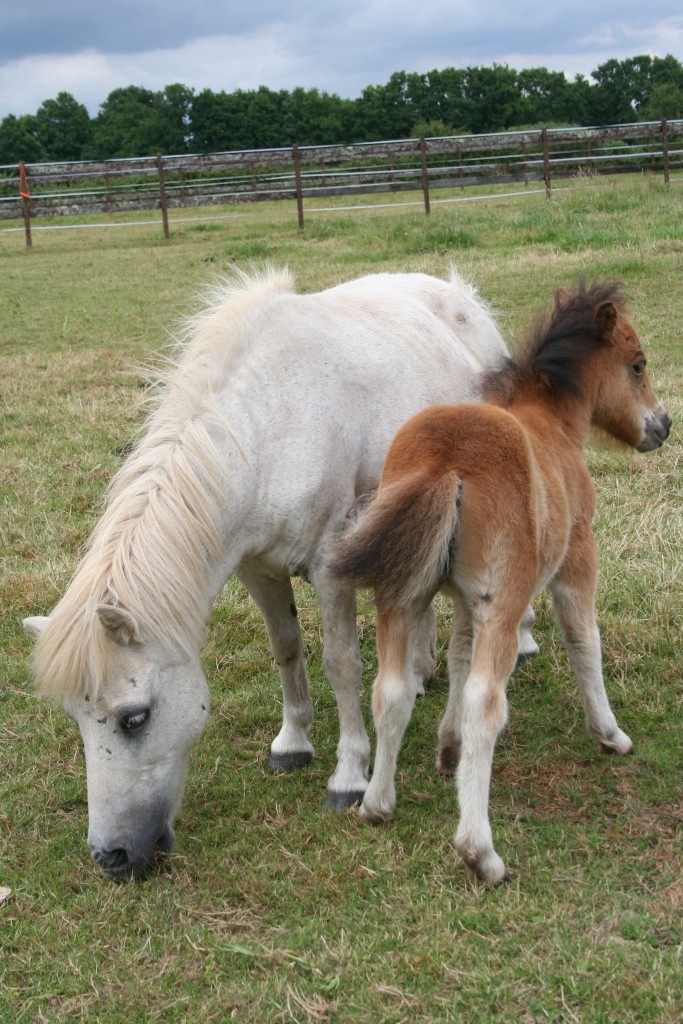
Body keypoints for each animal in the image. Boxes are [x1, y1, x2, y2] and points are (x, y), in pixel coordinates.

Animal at [24, 268, 536, 876]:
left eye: (135, 718)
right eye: (74, 718)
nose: (111, 857)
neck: (270, 425)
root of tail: (457, 294)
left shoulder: (331, 568)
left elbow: (341, 664)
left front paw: (348, 775)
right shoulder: (257, 570)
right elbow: (287, 649)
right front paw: (292, 743)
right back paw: (417, 670)